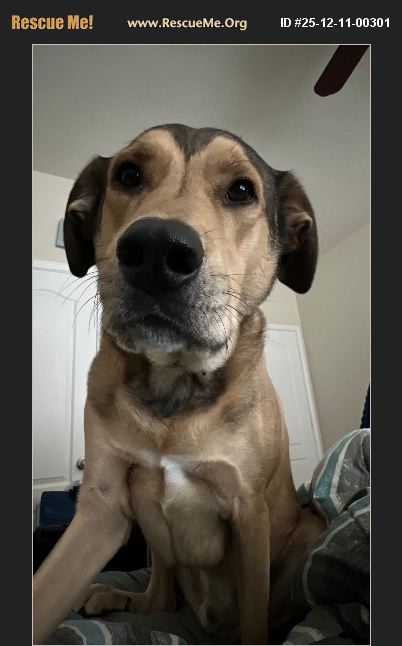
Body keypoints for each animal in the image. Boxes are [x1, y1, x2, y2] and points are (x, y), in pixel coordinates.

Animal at [33, 124, 324, 645]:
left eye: (242, 190)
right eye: (128, 175)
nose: (156, 251)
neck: (173, 382)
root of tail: (207, 623)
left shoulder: (249, 512)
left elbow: (255, 620)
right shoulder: (102, 508)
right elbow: (45, 592)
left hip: (307, 527)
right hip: (155, 542)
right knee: (160, 600)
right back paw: (119, 597)